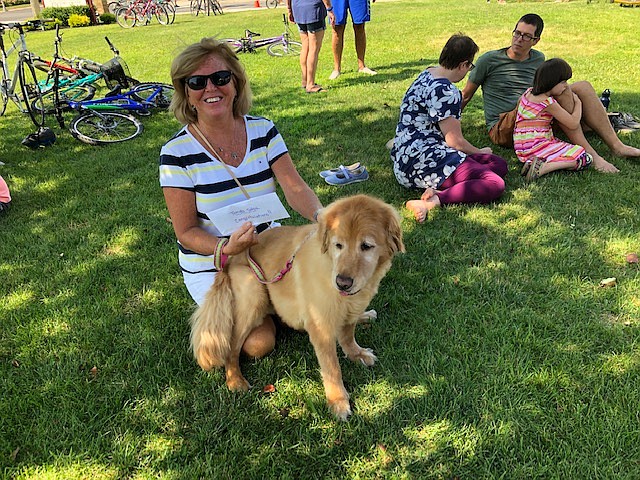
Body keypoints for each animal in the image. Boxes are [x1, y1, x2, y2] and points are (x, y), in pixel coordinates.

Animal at [188, 195, 404, 420]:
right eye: (338, 245)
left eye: (366, 246)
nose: (343, 283)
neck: (330, 267)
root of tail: (230, 258)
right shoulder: (321, 327)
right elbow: (332, 368)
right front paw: (338, 401)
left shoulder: (351, 305)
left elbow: (347, 334)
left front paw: (356, 353)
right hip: (254, 291)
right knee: (231, 345)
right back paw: (235, 379)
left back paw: (366, 315)